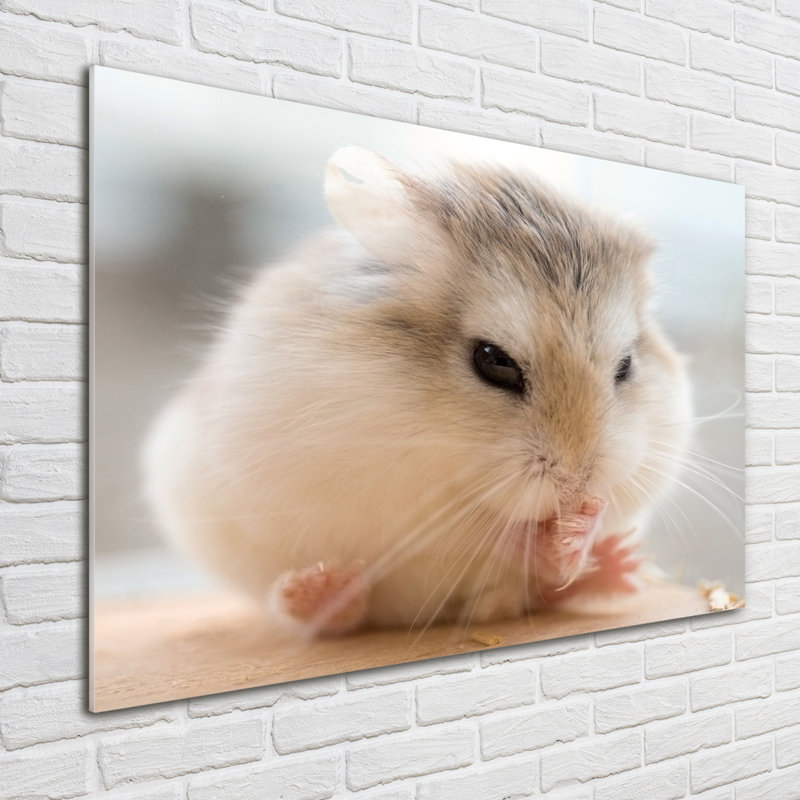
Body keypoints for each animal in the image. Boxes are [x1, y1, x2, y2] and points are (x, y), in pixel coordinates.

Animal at [142, 146, 692, 636]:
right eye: (493, 361)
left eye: (626, 366)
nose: (577, 487)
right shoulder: (387, 492)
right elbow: (472, 530)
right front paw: (551, 532)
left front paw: (581, 530)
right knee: (333, 616)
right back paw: (321, 590)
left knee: (544, 592)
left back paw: (618, 565)